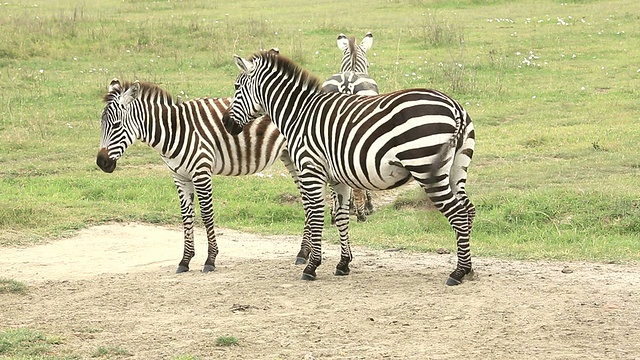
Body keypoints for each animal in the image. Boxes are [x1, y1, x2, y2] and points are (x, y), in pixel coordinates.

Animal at [96, 79, 302, 272]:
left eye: (116, 125)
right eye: (101, 125)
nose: (101, 163)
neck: (175, 130)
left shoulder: (201, 172)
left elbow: (206, 214)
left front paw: (210, 259)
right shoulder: (179, 176)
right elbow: (186, 215)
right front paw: (185, 260)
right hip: (290, 156)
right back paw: (302, 254)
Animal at [221, 52, 476, 286]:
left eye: (236, 87)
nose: (226, 123)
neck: (299, 114)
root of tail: (455, 107)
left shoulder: (311, 170)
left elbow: (315, 216)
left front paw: (312, 266)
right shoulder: (337, 178)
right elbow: (342, 217)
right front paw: (343, 263)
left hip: (425, 167)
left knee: (458, 213)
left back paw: (457, 273)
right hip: (456, 169)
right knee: (468, 210)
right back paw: (469, 268)